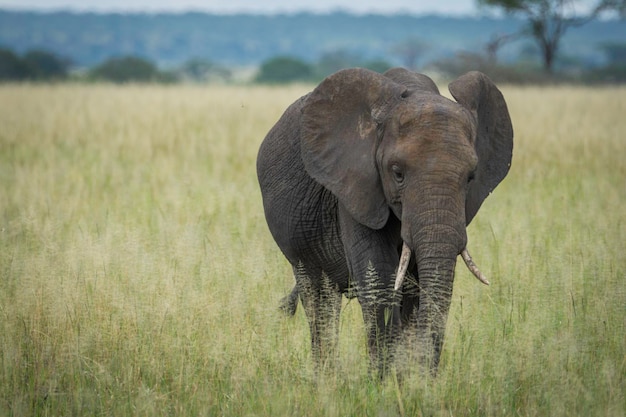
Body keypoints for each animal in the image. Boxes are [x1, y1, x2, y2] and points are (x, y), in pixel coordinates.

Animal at [255, 67, 512, 374]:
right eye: (397, 172)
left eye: (471, 177)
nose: (428, 375)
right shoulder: (354, 187)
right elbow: (378, 279)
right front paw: (382, 381)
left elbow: (417, 286)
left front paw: (410, 379)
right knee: (320, 300)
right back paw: (326, 380)